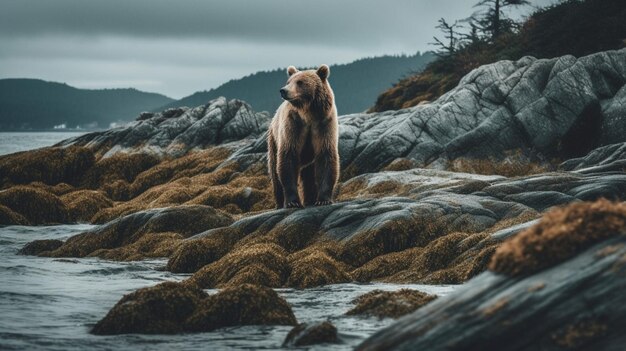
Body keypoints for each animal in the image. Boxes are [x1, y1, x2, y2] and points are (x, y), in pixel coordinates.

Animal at [266, 65, 338, 209]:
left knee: (309, 175)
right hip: (273, 140)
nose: (283, 91)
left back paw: (310, 199)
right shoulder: (293, 125)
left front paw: (324, 199)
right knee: (274, 171)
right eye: (289, 81)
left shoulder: (324, 124)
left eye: (300, 82)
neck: (308, 114)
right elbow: (288, 157)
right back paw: (279, 202)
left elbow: (326, 156)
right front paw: (292, 201)